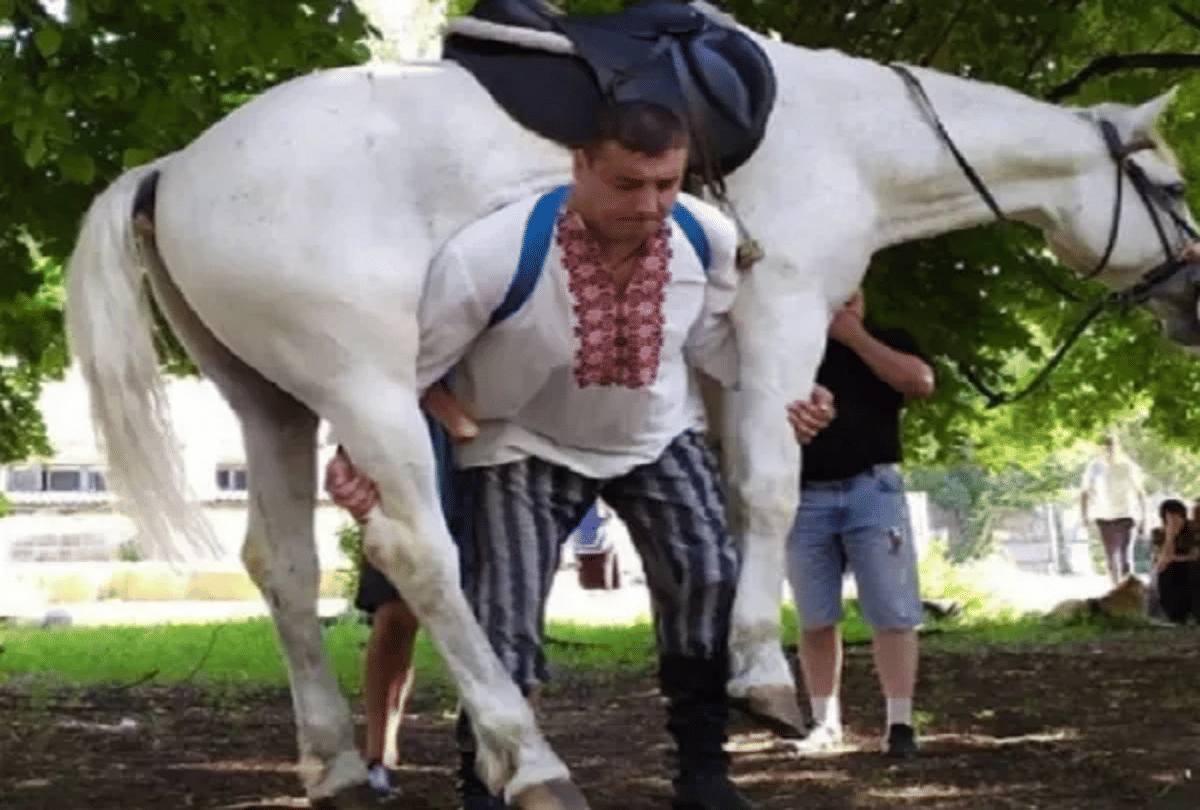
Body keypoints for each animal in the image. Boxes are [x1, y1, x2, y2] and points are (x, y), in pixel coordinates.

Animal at [64, 7, 1200, 810]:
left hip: (268, 403)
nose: (1194, 289)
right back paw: (523, 756)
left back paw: (337, 761)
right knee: (417, 555)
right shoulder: (783, 317)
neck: (849, 136)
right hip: (365, 389)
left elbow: (717, 510)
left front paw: (723, 672)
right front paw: (763, 674)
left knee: (284, 567)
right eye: (1176, 186)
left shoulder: (719, 356)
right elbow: (772, 492)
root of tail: (174, 170)